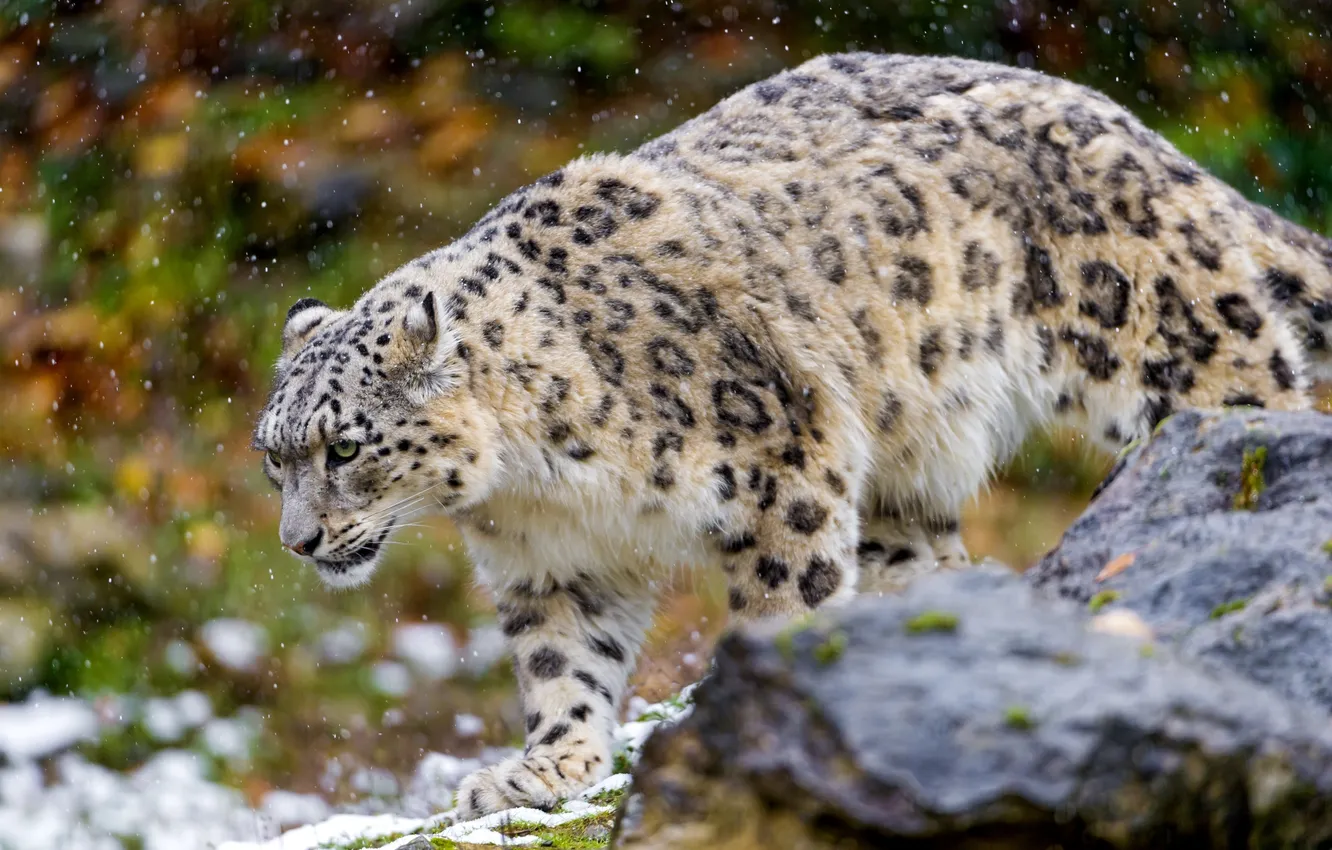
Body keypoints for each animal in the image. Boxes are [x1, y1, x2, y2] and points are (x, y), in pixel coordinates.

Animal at [252, 52, 1332, 819]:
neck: (538, 480)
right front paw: (542, 768)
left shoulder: (785, 465)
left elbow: (783, 598)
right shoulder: (553, 562)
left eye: (343, 448)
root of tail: (1125, 124)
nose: (298, 543)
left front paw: (752, 710)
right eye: (275, 458)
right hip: (905, 480)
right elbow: (564, 666)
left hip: (1171, 344)